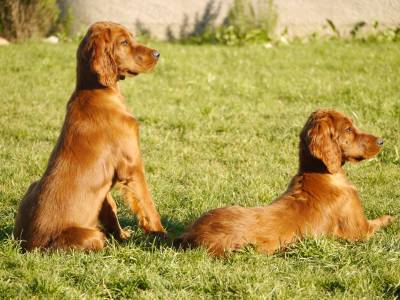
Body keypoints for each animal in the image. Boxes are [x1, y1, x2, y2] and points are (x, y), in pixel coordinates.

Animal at [13, 21, 165, 251]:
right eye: (124, 42)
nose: (157, 53)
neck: (97, 91)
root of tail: (27, 245)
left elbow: (110, 208)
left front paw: (122, 236)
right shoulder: (132, 166)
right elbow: (147, 203)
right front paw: (161, 235)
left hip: (32, 185)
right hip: (89, 236)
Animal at [174, 109, 394, 255]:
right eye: (348, 129)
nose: (382, 141)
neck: (321, 173)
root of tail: (190, 234)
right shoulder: (360, 230)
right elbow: (384, 220)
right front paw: (391, 217)